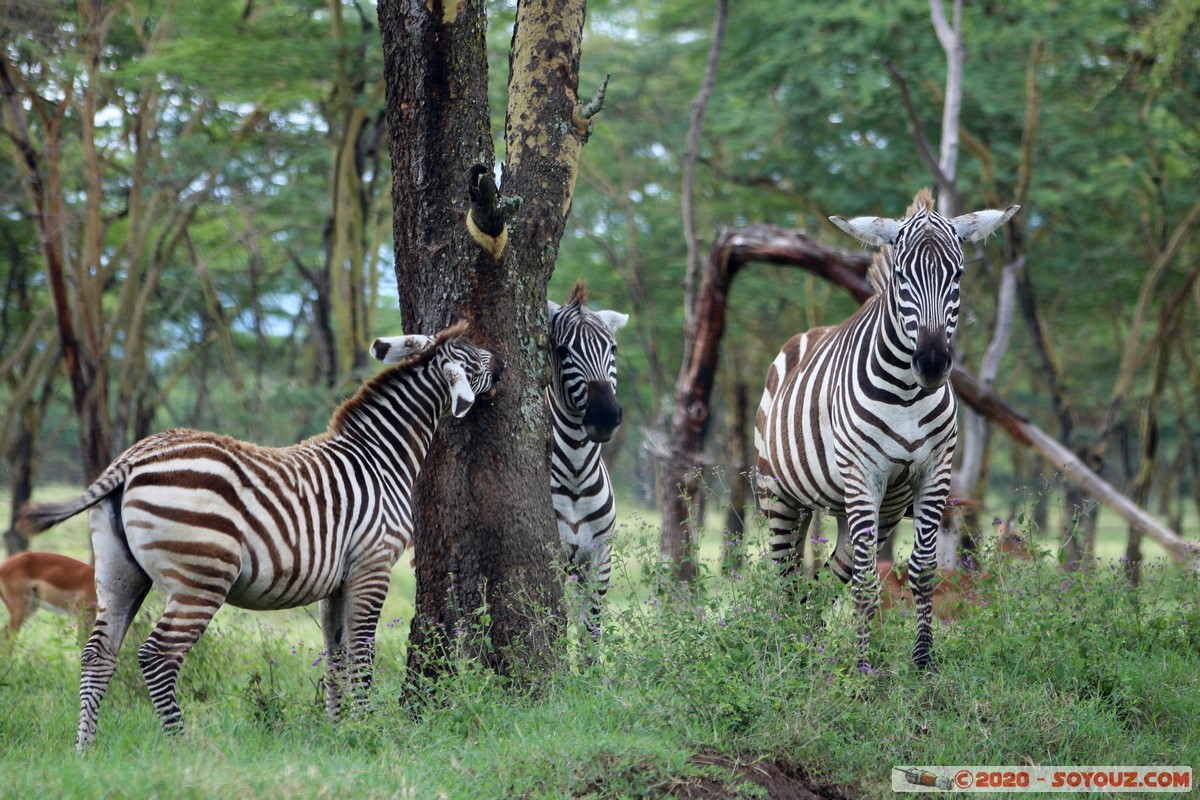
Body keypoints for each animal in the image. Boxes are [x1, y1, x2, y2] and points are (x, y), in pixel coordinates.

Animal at [17, 319, 501, 753]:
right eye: (476, 359)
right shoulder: (373, 564)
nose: (502, 366)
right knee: (157, 656)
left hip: (119, 574)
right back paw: (180, 746)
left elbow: (336, 656)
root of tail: (133, 458)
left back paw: (85, 749)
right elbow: (362, 656)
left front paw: (340, 728)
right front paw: (370, 728)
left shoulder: (338, 580)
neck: (381, 457)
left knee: (96, 654)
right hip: (202, 578)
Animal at [753, 188, 1017, 671]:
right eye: (901, 275)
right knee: (785, 572)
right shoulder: (863, 472)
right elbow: (864, 580)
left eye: (958, 274)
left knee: (825, 576)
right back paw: (789, 647)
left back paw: (812, 641)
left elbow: (921, 568)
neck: (908, 394)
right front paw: (863, 669)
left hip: (865, 507)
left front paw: (922, 660)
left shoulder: (934, 471)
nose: (931, 363)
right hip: (778, 493)